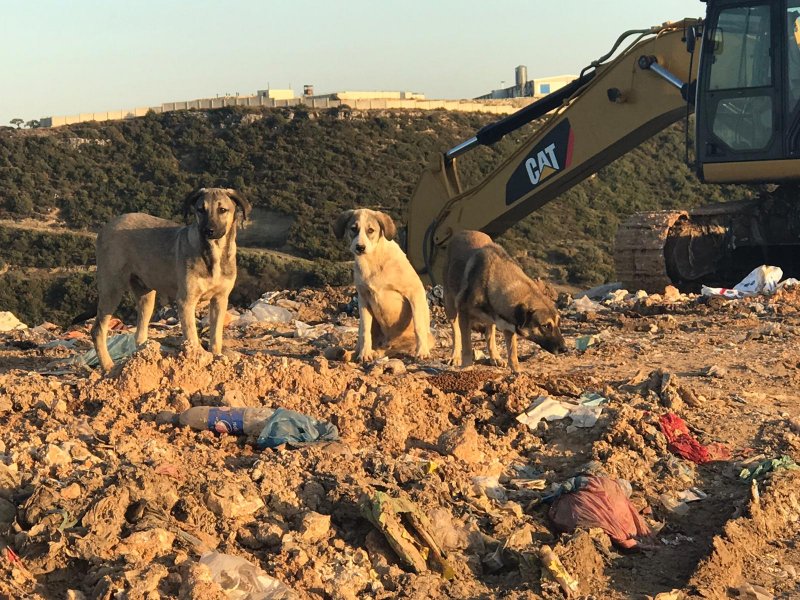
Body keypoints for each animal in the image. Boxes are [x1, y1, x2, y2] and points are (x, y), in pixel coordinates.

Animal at [90, 188, 250, 370]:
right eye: (200, 209)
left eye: (222, 210)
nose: (208, 231)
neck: (213, 252)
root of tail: (107, 226)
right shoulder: (186, 301)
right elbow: (192, 338)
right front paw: (196, 362)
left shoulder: (220, 299)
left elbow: (216, 336)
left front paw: (216, 360)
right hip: (112, 288)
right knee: (97, 330)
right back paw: (108, 366)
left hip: (146, 293)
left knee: (139, 333)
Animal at [332, 210, 432, 360]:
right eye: (353, 229)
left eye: (370, 230)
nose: (360, 247)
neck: (373, 261)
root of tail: (387, 342)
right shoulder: (364, 299)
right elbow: (365, 331)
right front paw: (364, 354)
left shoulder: (415, 292)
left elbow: (418, 325)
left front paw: (422, 351)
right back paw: (353, 353)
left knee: (393, 349)